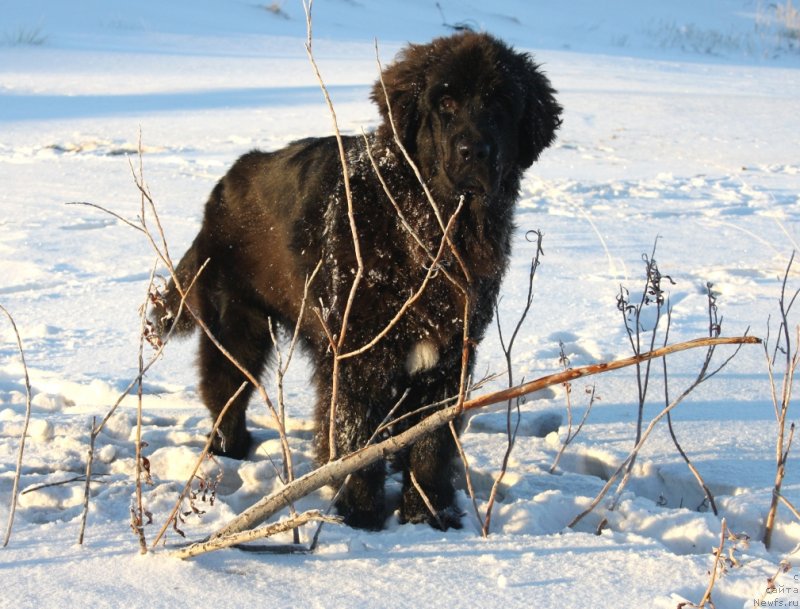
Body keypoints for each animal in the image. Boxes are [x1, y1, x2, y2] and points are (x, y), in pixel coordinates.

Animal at [153, 30, 560, 528]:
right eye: (445, 102)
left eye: (501, 103)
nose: (475, 151)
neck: (427, 226)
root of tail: (223, 186)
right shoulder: (359, 354)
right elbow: (357, 437)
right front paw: (361, 514)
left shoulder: (448, 358)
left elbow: (429, 444)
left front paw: (430, 515)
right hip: (238, 326)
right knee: (225, 389)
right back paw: (228, 450)